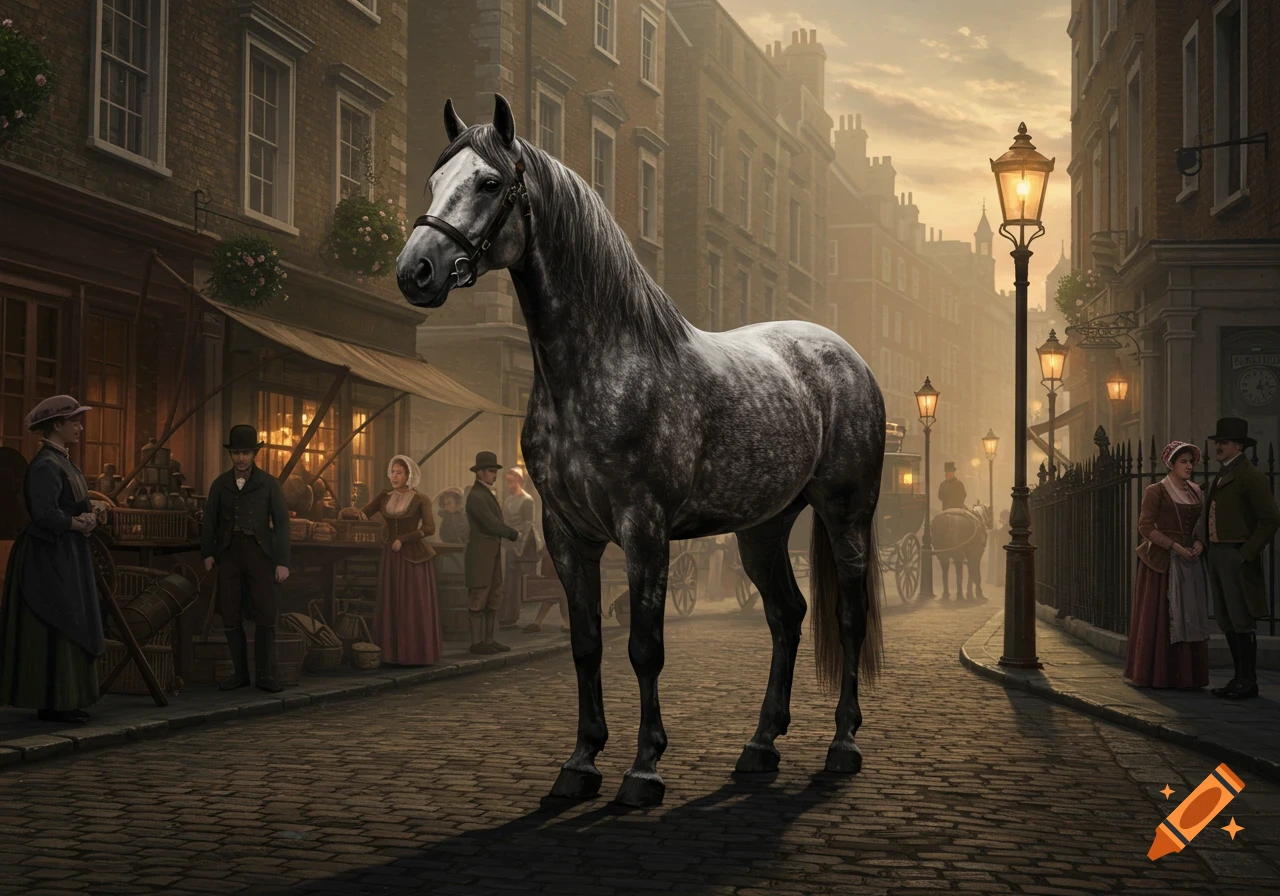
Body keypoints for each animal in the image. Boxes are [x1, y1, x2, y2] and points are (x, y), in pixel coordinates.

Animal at [396, 94, 886, 808]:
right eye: (435, 179)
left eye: (489, 182)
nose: (416, 270)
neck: (598, 366)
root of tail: (845, 355)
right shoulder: (566, 532)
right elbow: (587, 644)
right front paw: (579, 763)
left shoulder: (644, 529)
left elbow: (645, 646)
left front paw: (644, 769)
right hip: (763, 527)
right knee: (786, 615)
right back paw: (759, 746)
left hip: (845, 513)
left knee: (848, 617)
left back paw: (843, 744)